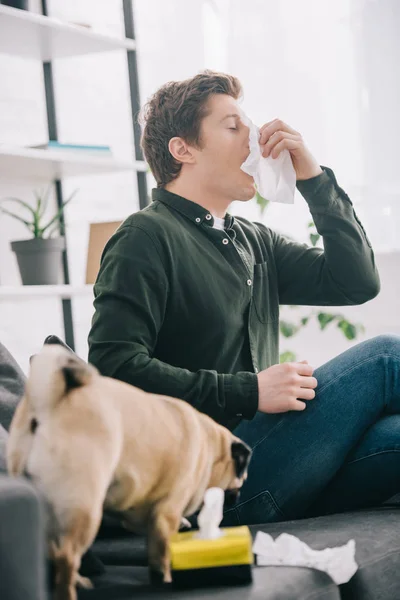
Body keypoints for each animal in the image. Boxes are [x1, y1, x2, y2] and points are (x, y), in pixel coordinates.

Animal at [7, 344, 250, 596]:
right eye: (241, 477)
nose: (237, 494)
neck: (210, 445)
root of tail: (49, 404)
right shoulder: (168, 512)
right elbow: (163, 549)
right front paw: (167, 576)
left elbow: (152, 544)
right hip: (84, 508)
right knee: (66, 555)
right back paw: (70, 589)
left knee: (51, 552)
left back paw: (78, 580)